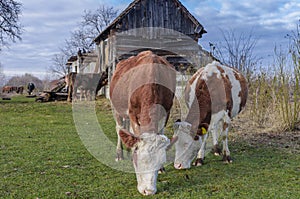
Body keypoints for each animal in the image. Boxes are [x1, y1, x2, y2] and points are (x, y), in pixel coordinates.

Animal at [109, 50, 176, 195]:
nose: (148, 191)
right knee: (119, 128)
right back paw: (119, 154)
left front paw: (162, 168)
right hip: (115, 108)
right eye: (138, 161)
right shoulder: (132, 112)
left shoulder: (167, 111)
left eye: (160, 160)